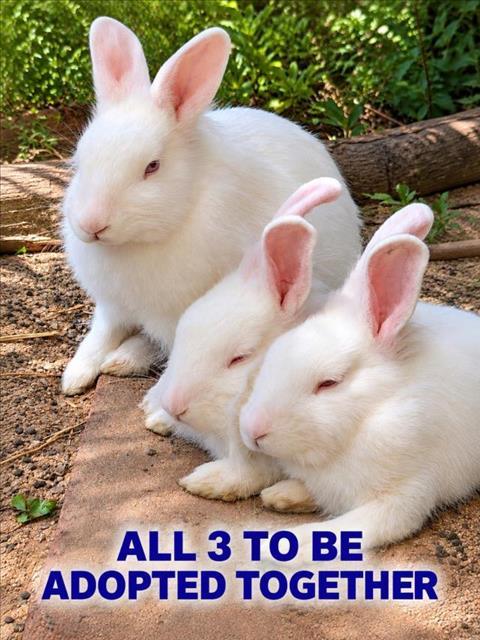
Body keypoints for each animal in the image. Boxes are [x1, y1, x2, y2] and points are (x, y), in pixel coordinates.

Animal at [61, 16, 361, 396]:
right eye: (81, 158)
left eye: (152, 167)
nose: (91, 224)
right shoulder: (112, 306)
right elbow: (100, 335)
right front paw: (74, 376)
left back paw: (124, 359)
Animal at [240, 203, 480, 556]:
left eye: (329, 383)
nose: (253, 431)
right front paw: (281, 494)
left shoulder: (405, 495)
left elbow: (348, 528)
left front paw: (287, 542)